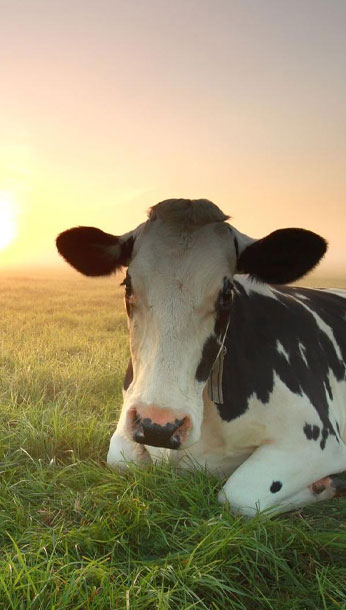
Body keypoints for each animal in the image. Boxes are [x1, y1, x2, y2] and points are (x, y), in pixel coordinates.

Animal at [56, 198, 346, 512]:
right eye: (128, 285)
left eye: (226, 295)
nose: (159, 425)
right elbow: (122, 460)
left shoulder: (317, 440)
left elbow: (240, 496)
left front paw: (326, 484)